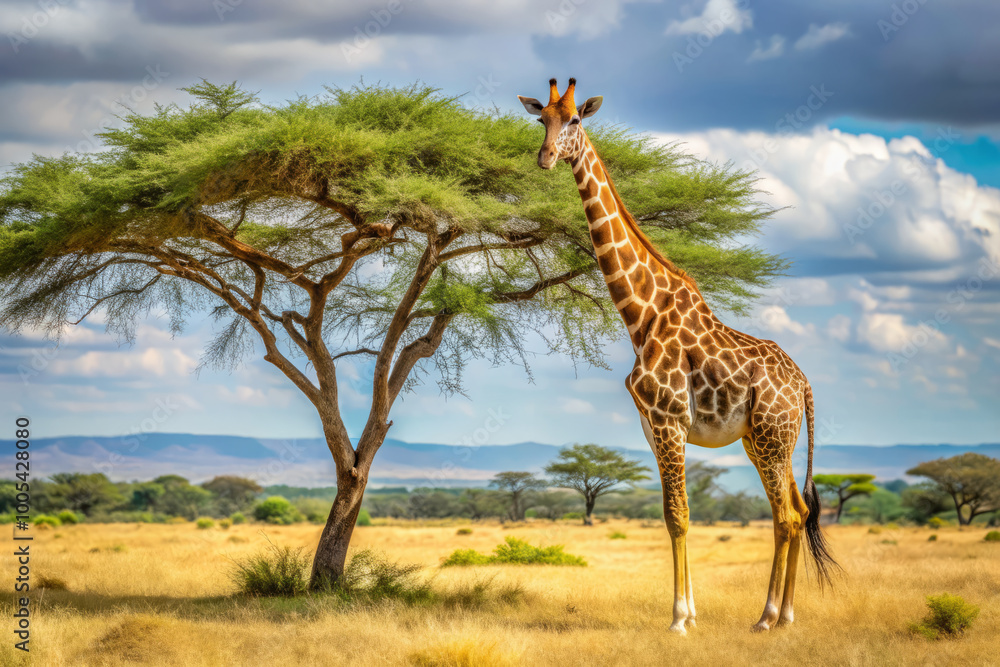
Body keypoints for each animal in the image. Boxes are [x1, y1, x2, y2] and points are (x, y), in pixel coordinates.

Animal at [518, 79, 836, 634]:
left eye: (575, 120)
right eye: (542, 120)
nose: (546, 157)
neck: (639, 315)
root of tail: (803, 385)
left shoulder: (669, 419)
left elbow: (680, 516)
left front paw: (679, 619)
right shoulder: (651, 425)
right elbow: (671, 515)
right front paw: (688, 612)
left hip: (773, 439)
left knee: (785, 516)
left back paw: (766, 617)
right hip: (764, 441)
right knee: (797, 512)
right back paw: (786, 615)